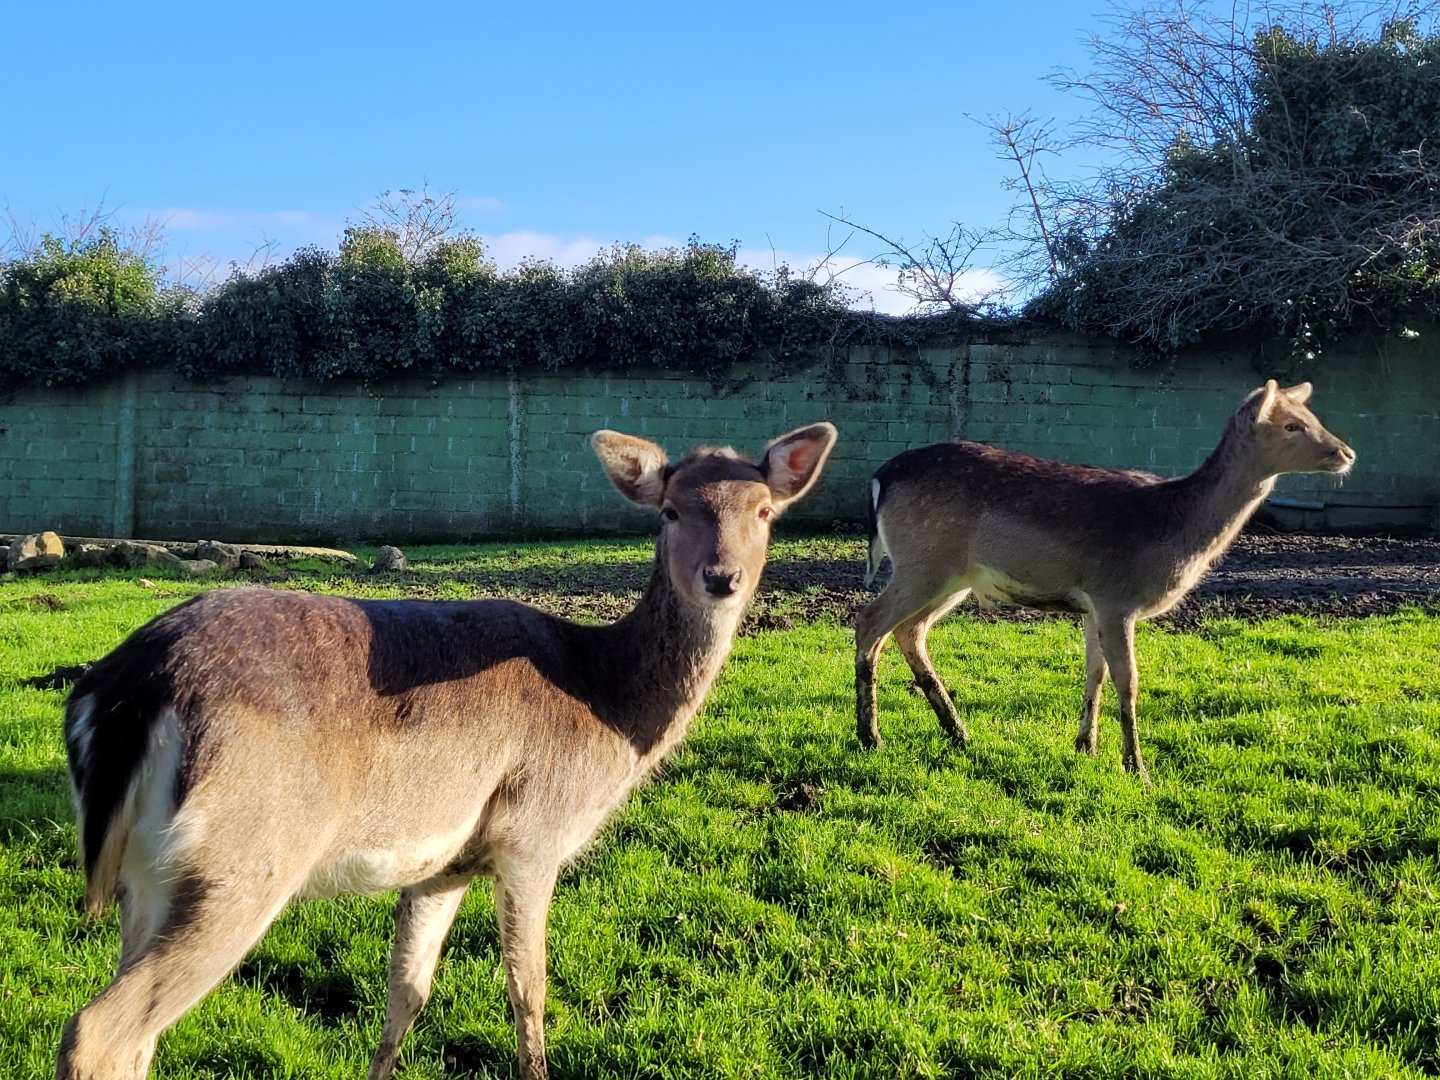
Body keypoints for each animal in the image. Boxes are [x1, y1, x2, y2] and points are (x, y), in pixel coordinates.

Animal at [56, 421, 838, 1080]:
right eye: (671, 511)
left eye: (764, 512)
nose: (722, 578)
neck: (608, 711)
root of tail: (128, 689)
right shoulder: (532, 835)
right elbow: (528, 989)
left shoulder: (444, 864)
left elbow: (407, 992)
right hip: (244, 855)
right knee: (101, 1030)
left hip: (148, 876)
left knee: (140, 1035)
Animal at [854, 381, 1354, 783]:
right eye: (1291, 426)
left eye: (1314, 418)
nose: (1346, 453)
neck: (1173, 531)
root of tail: (880, 477)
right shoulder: (1117, 598)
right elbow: (1127, 680)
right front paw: (1138, 768)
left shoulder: (1092, 605)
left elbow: (1093, 672)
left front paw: (1087, 748)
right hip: (925, 562)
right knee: (870, 621)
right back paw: (870, 736)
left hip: (953, 576)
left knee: (909, 630)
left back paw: (958, 732)